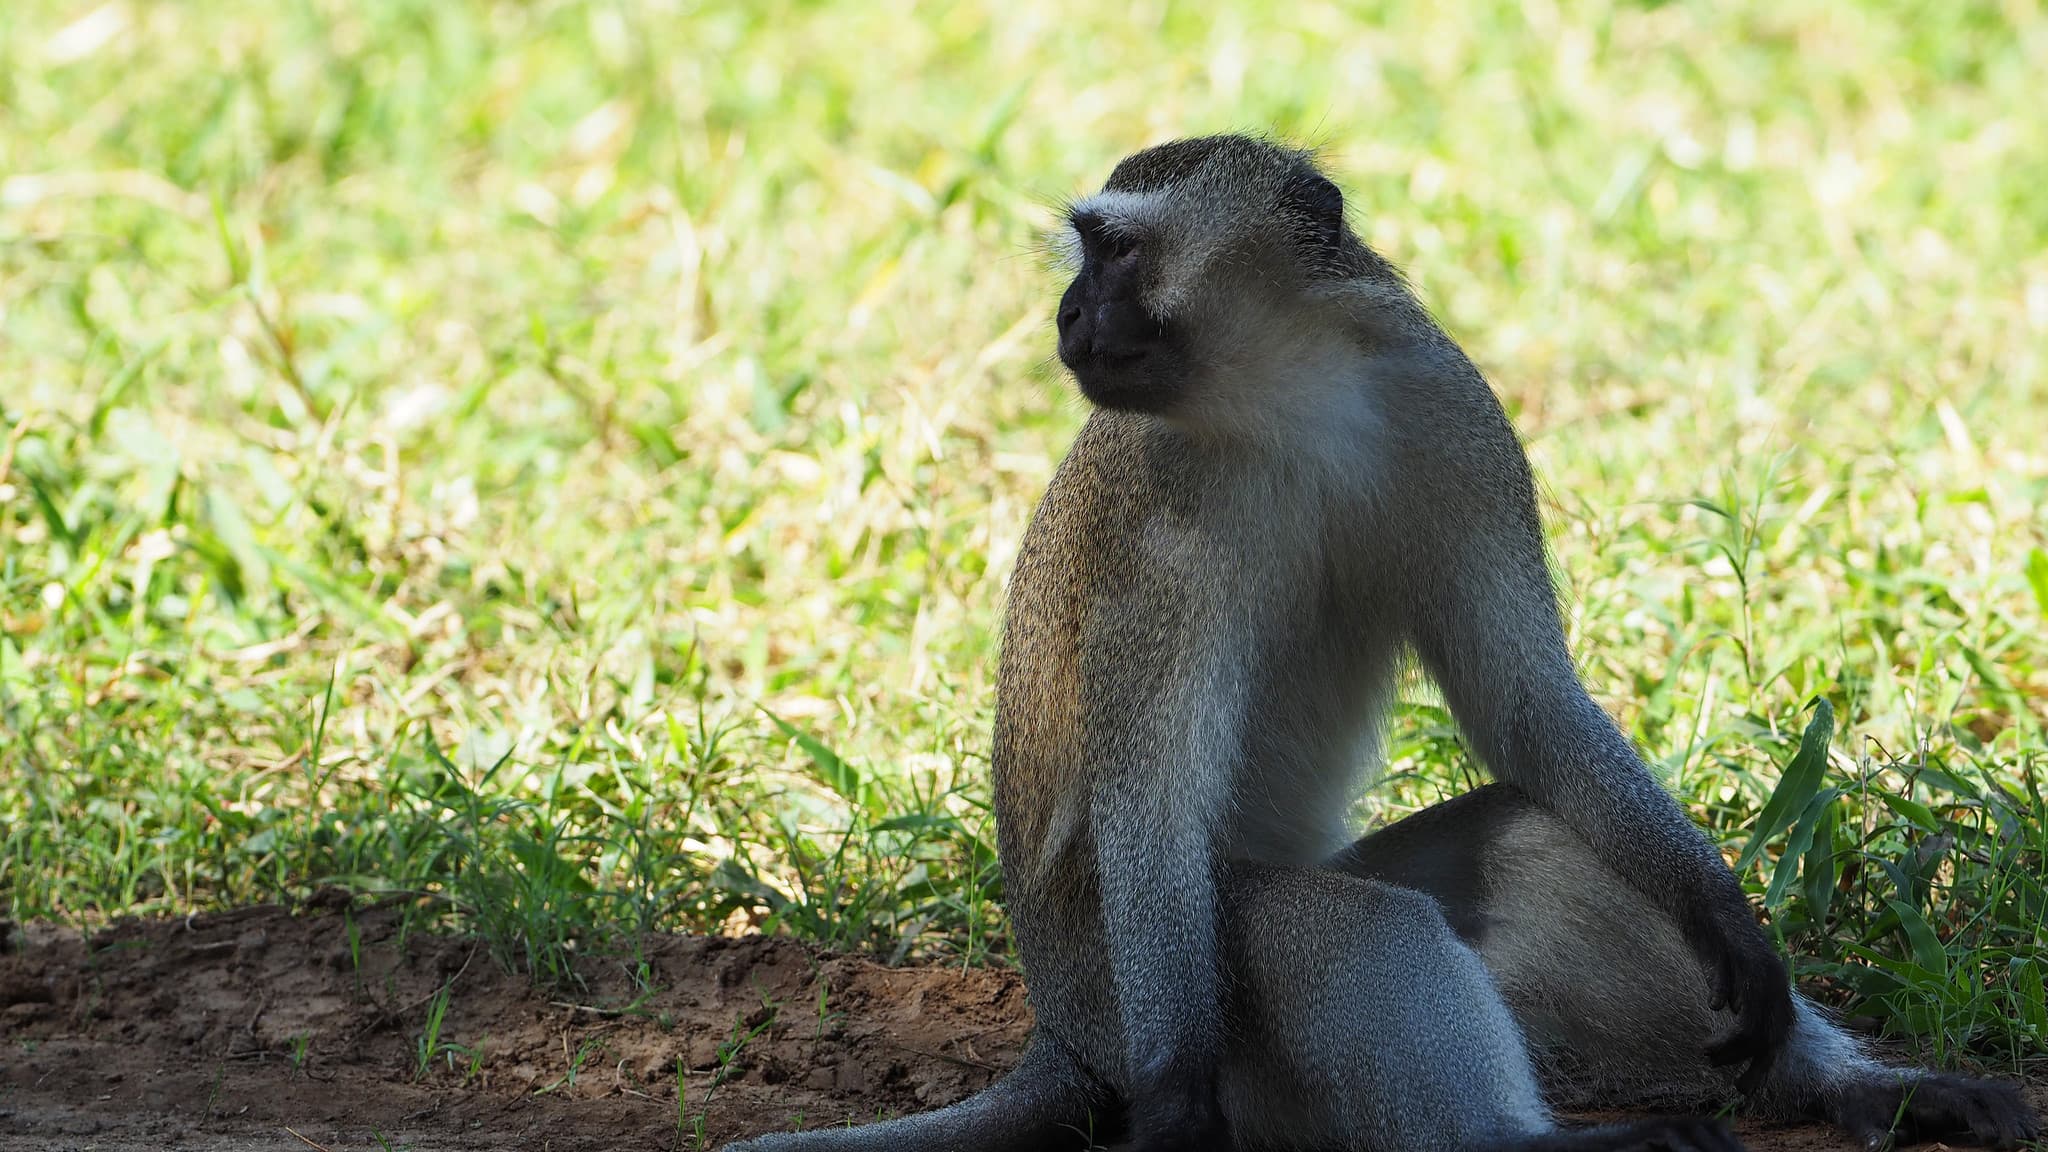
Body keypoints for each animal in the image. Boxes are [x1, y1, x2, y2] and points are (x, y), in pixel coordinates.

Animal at [723, 135, 2033, 1151]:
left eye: (1118, 254)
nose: (1067, 312)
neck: (1287, 397)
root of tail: (1057, 1028)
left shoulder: (1450, 412)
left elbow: (1526, 707)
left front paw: (1727, 917)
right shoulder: (1159, 525)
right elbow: (1149, 801)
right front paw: (1176, 1103)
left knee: (1534, 839)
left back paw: (1857, 1092)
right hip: (1116, 977)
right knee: (1343, 927)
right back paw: (1523, 1141)